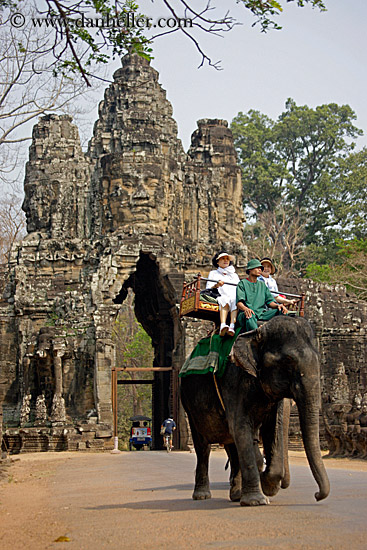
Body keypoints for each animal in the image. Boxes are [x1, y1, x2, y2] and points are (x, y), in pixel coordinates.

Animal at [181, 314, 330, 508]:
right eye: (288, 361)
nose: (317, 495)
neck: (258, 330)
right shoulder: (233, 380)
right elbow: (241, 428)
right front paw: (256, 500)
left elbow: (272, 429)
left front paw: (268, 485)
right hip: (188, 402)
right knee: (203, 446)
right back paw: (202, 495)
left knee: (231, 443)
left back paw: (236, 494)